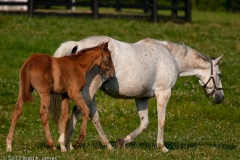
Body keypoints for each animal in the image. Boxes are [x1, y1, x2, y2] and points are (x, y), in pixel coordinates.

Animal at [51, 35, 224, 152]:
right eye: (220, 74)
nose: (220, 98)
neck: (170, 57)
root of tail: (77, 45)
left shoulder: (142, 98)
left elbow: (144, 123)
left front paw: (122, 142)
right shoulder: (163, 94)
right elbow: (161, 120)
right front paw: (162, 147)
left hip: (92, 93)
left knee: (94, 117)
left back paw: (108, 146)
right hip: (89, 90)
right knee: (78, 111)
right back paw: (69, 144)